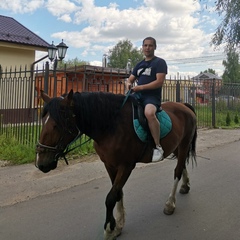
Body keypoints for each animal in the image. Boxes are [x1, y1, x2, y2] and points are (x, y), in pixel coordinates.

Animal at [35, 90, 197, 240]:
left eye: (56, 125)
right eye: (43, 122)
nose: (41, 163)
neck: (111, 126)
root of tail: (184, 106)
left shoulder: (126, 166)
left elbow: (111, 197)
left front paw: (109, 229)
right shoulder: (110, 165)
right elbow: (118, 192)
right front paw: (118, 224)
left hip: (184, 144)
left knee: (177, 170)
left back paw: (170, 204)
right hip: (176, 146)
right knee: (182, 164)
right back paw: (185, 186)